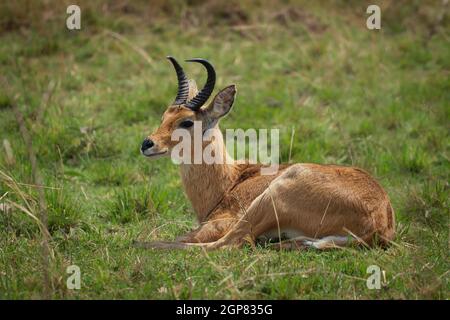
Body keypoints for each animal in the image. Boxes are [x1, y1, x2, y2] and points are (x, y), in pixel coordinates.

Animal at [136, 56, 394, 249]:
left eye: (187, 122)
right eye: (164, 116)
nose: (147, 143)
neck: (231, 181)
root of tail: (379, 223)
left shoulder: (222, 222)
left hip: (266, 202)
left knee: (229, 244)